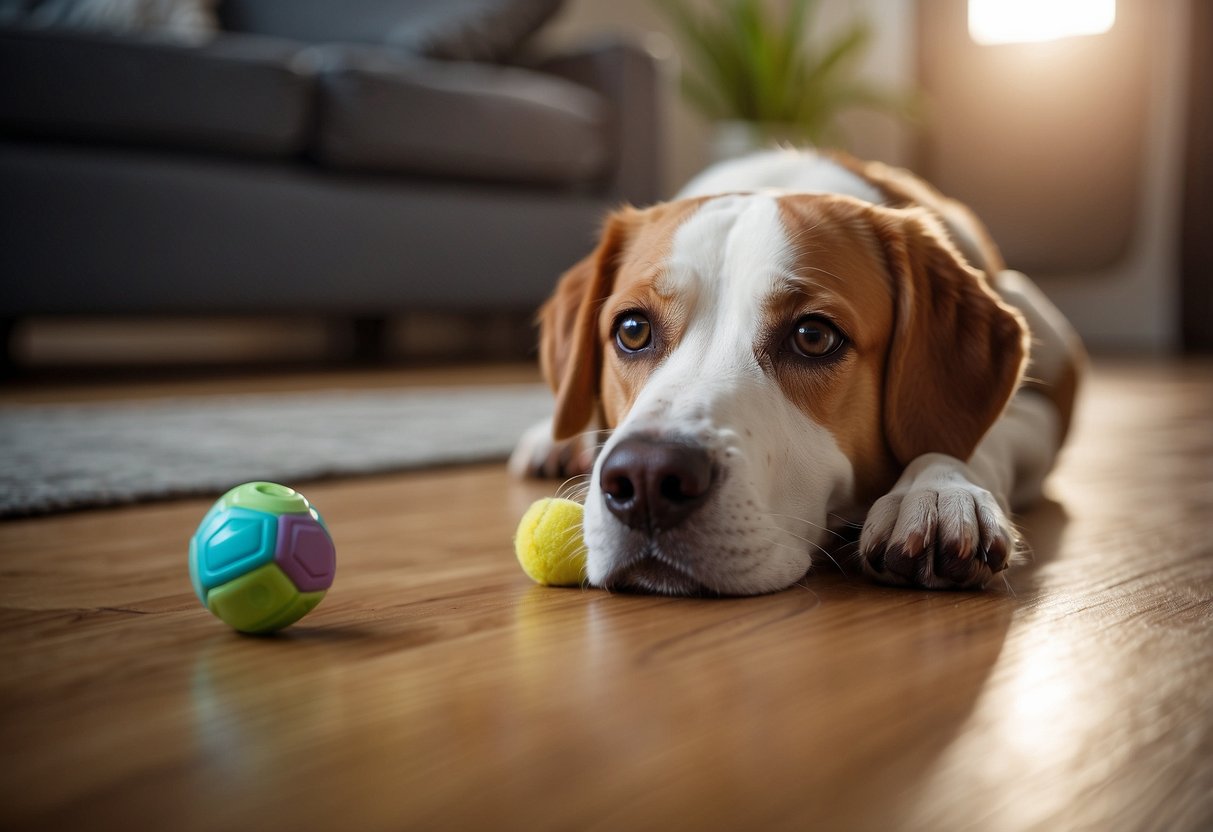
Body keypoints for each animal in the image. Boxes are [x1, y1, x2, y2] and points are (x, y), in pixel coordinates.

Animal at [509, 148, 1081, 594]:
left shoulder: (1044, 409)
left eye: (813, 337)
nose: (647, 478)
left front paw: (939, 489)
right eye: (631, 330)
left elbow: (978, 436)